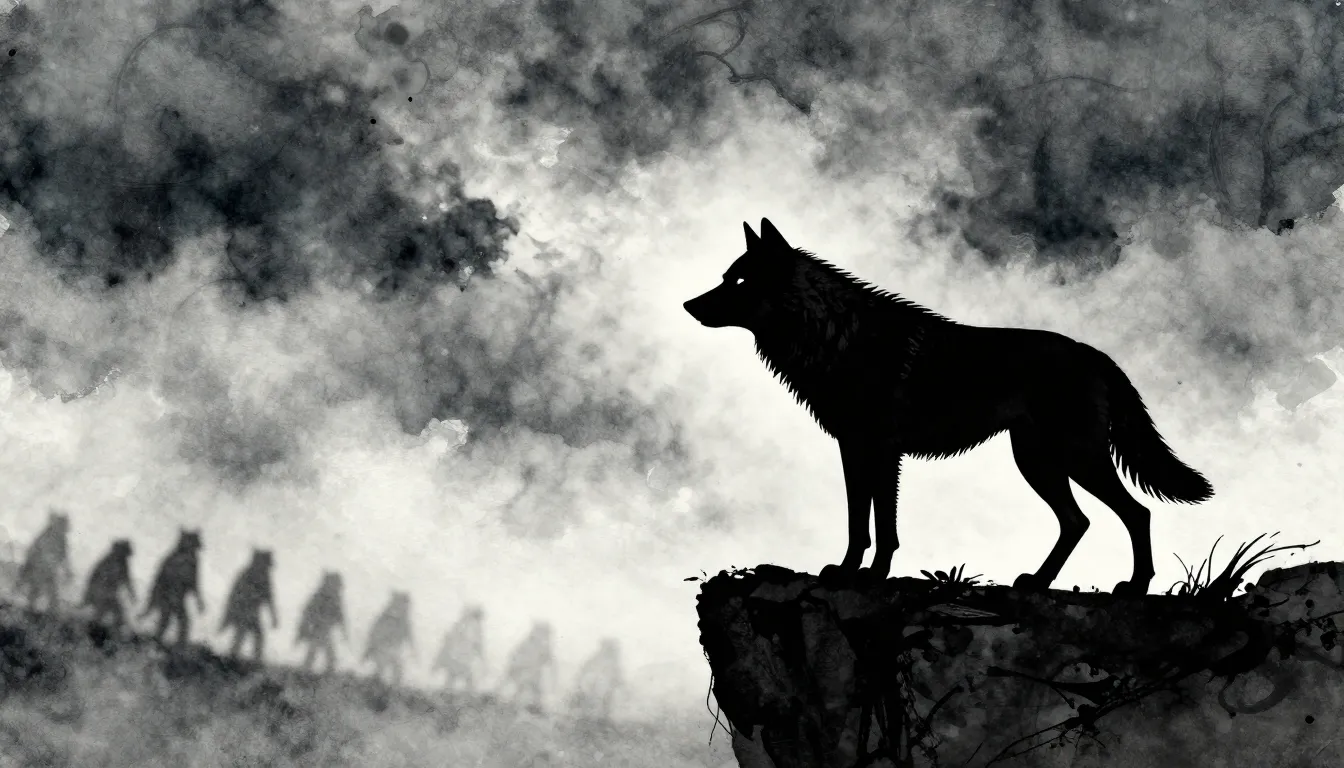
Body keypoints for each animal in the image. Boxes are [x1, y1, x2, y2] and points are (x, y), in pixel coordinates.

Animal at [683, 219, 1215, 597]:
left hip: (1074, 459)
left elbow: (882, 525)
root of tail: (1095, 353)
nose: (689, 305)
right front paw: (850, 570)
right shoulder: (854, 449)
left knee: (1136, 514)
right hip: (1038, 462)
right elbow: (860, 523)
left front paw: (871, 576)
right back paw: (1038, 582)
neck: (835, 338)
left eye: (739, 281)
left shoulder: (881, 451)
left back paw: (1135, 587)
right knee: (1077, 521)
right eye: (726, 278)